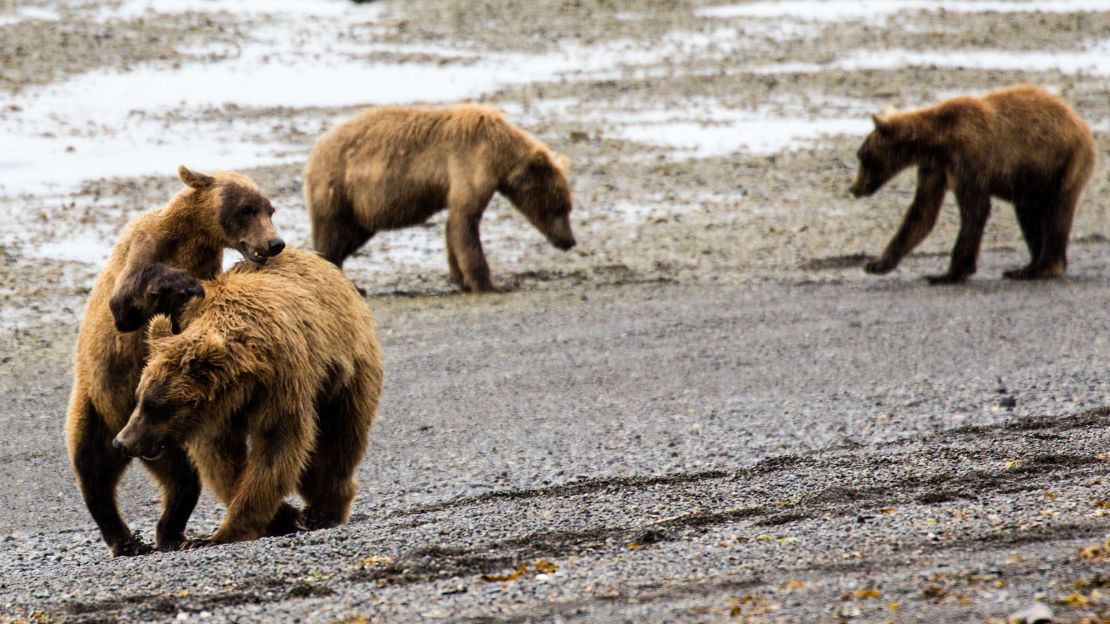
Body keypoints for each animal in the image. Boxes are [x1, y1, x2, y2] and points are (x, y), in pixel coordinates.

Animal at [64, 164, 286, 552]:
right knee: (93, 469)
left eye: (269, 210)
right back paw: (125, 539)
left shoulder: (207, 268)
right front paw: (180, 283)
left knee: (182, 479)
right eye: (247, 209)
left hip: (160, 432)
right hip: (96, 405)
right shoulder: (144, 248)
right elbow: (126, 305)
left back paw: (172, 534)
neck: (191, 238)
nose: (274, 243)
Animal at [112, 247, 381, 544]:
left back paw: (326, 508)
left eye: (157, 405)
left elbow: (277, 445)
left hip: (345, 372)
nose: (122, 442)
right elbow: (223, 461)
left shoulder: (281, 384)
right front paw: (281, 516)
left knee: (341, 438)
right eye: (139, 398)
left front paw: (231, 530)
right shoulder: (217, 415)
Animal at [306, 103, 581, 290]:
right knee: (332, 235)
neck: (500, 157)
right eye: (561, 207)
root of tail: (315, 151)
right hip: (339, 189)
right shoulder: (472, 164)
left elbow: (454, 227)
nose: (570, 241)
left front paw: (460, 278)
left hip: (360, 209)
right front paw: (488, 283)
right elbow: (466, 222)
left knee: (350, 236)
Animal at [848, 83, 1092, 283]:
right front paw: (877, 264)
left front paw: (947, 274)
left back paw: (1045, 267)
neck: (937, 142)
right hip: (1032, 178)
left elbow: (974, 210)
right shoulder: (935, 168)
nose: (853, 188)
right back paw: (1026, 267)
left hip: (1064, 162)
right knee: (1027, 213)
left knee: (1058, 213)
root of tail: (1080, 122)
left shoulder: (970, 159)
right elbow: (922, 212)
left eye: (863, 156)